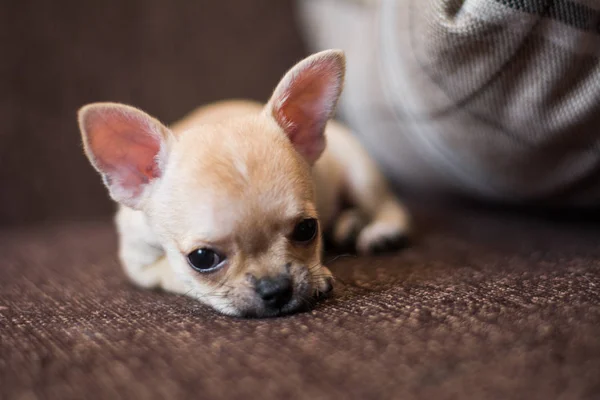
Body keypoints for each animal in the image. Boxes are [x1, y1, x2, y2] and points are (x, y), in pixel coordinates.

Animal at [77, 50, 410, 318]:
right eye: (202, 258)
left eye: (307, 229)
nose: (276, 288)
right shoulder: (139, 264)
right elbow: (174, 274)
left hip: (359, 169)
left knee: (386, 204)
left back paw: (381, 231)